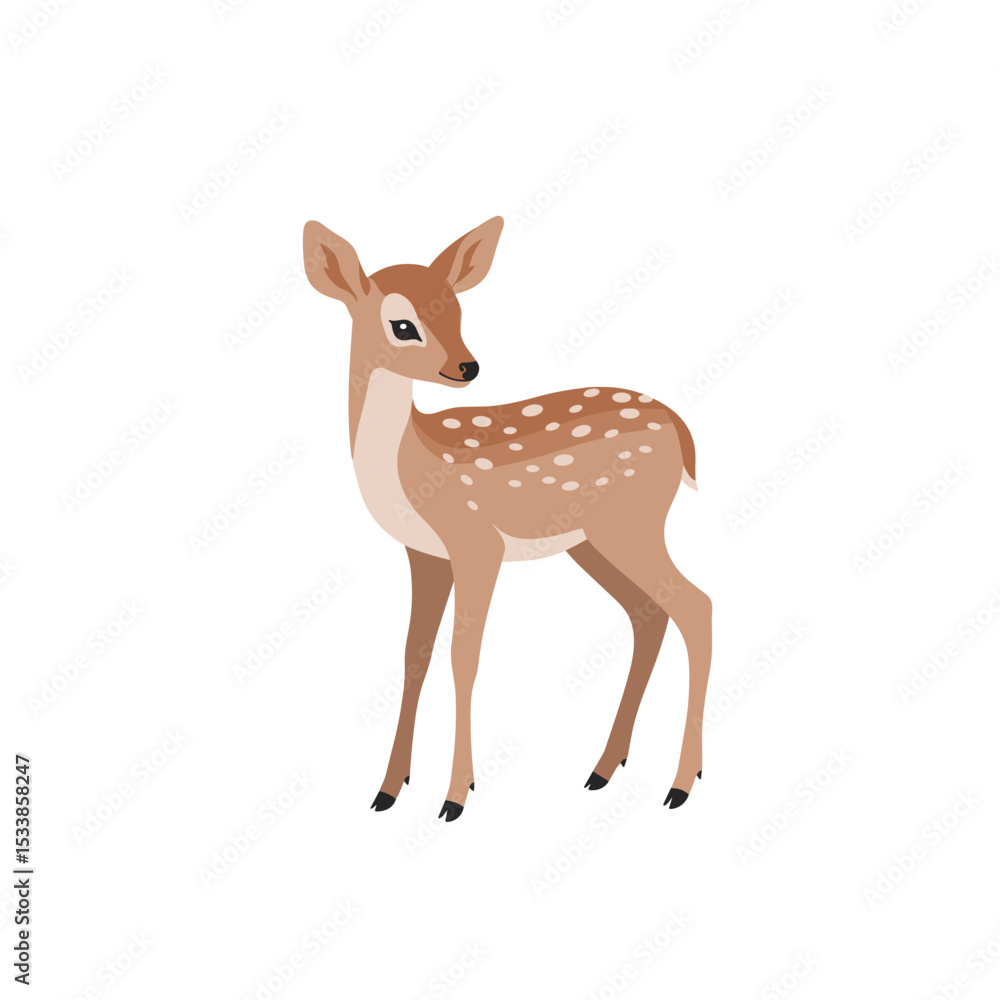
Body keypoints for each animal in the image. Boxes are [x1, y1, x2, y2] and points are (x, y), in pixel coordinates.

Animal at [302, 216, 712, 822]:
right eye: (403, 324)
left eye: (457, 310)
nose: (467, 366)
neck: (413, 463)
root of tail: (681, 431)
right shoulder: (423, 552)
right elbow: (413, 656)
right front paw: (388, 789)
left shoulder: (476, 542)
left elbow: (463, 657)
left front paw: (455, 796)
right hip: (591, 540)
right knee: (648, 615)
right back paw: (603, 769)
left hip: (631, 522)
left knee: (696, 607)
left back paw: (681, 785)